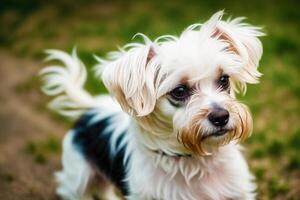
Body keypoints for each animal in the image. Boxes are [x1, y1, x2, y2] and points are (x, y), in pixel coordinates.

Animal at [41, 10, 264, 200]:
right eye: (179, 91)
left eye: (224, 80)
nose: (221, 117)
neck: (193, 159)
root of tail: (91, 108)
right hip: (77, 180)